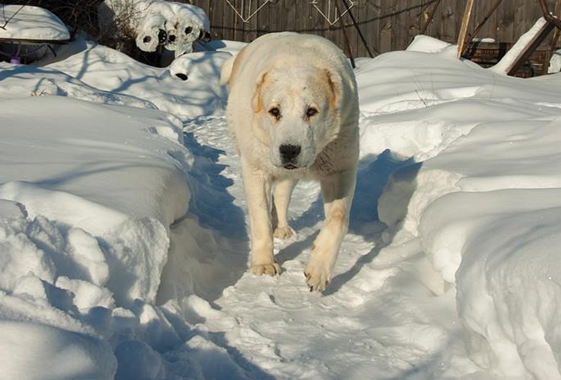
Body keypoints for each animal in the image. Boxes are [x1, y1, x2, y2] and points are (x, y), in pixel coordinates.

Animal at [220, 31, 358, 290]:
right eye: (275, 111)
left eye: (311, 111)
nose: (289, 150)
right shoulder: (256, 170)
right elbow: (260, 217)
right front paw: (263, 264)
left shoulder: (340, 168)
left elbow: (338, 219)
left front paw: (318, 268)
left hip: (291, 175)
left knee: (282, 197)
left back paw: (282, 228)